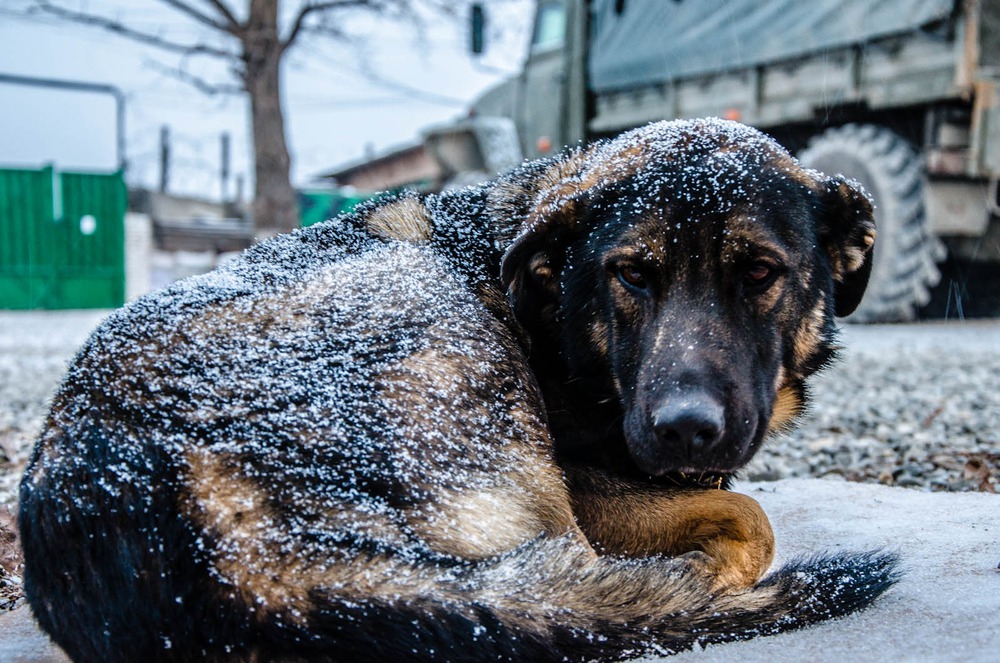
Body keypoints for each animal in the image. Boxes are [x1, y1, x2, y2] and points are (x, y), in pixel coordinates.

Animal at [15, 116, 896, 660]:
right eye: (632, 275)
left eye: (760, 273)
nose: (685, 428)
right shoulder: (590, 484)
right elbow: (750, 518)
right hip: (440, 320)